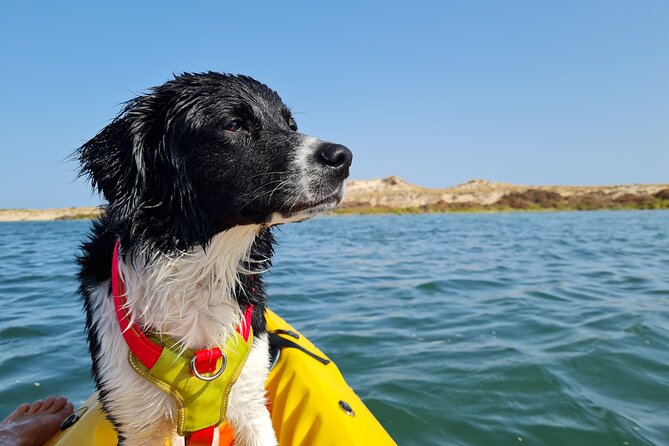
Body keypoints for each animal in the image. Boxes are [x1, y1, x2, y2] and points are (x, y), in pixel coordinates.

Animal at [76, 71, 352, 444]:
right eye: (234, 124)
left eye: (290, 123)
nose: (343, 157)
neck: (197, 268)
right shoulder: (135, 420)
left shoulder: (250, 399)